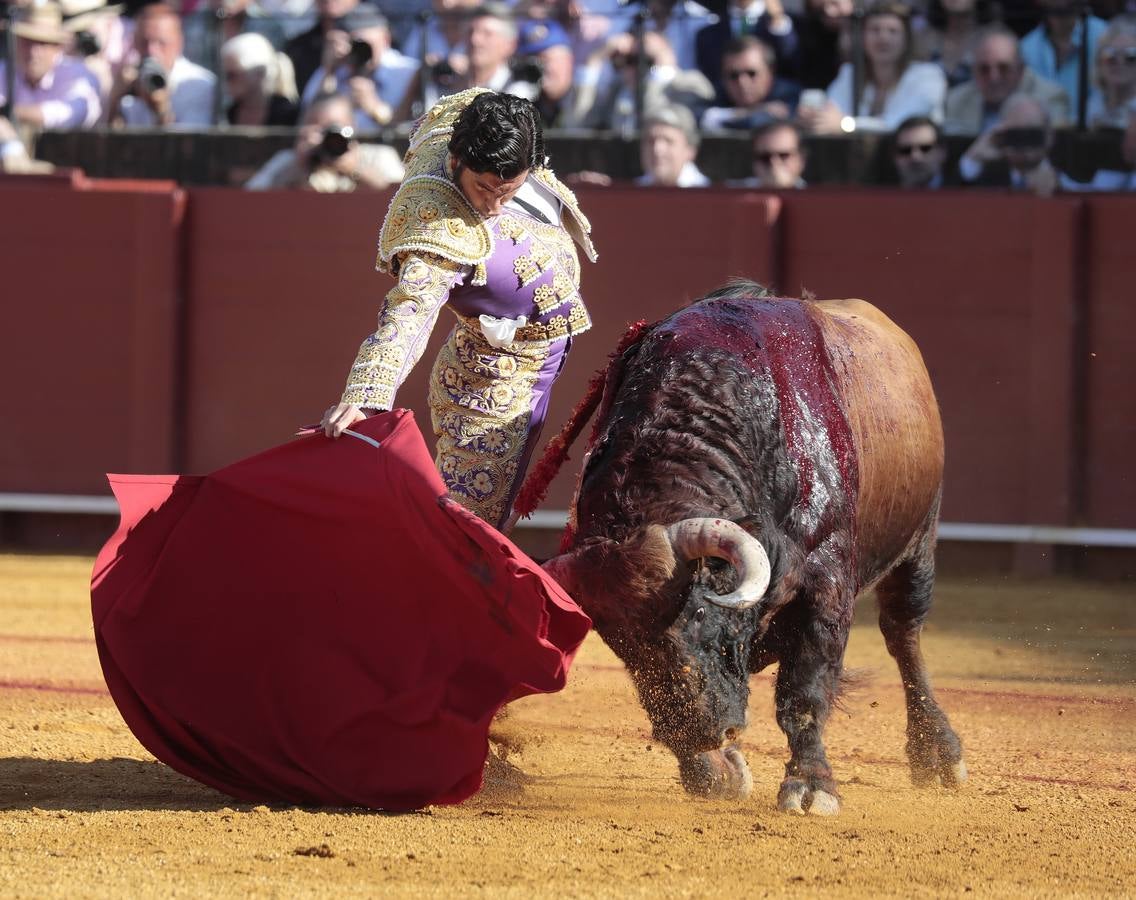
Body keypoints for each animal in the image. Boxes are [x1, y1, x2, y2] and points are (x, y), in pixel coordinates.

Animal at [540, 281, 967, 813]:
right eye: (618, 644)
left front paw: (811, 786)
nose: (702, 733)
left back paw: (938, 752)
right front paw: (716, 772)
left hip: (918, 543)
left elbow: (804, 692)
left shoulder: (824, 584)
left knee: (903, 634)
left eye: (699, 613)